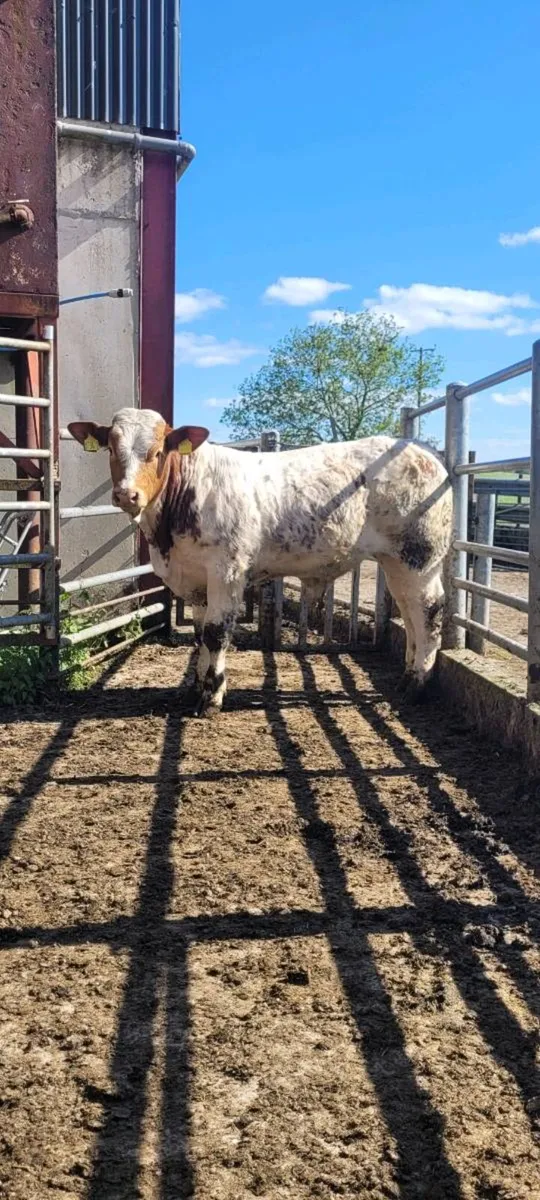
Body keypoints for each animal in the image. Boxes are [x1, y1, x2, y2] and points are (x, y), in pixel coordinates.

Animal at [68, 409, 452, 716]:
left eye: (158, 451)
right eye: (111, 449)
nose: (127, 495)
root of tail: (422, 451)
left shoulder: (227, 570)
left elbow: (216, 633)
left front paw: (211, 698)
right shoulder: (195, 579)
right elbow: (199, 635)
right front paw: (196, 689)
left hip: (420, 557)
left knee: (429, 612)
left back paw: (416, 685)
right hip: (395, 562)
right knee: (409, 613)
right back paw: (405, 677)